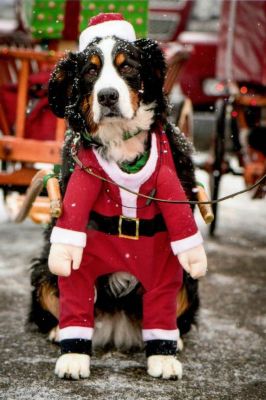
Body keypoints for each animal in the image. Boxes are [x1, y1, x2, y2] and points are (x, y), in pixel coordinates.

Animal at [30, 13, 207, 382]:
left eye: (127, 67)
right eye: (90, 71)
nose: (108, 97)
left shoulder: (168, 250)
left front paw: (163, 357)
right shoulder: (76, 246)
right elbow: (75, 297)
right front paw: (73, 356)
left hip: (188, 281)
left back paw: (176, 340)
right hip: (43, 272)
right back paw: (58, 331)